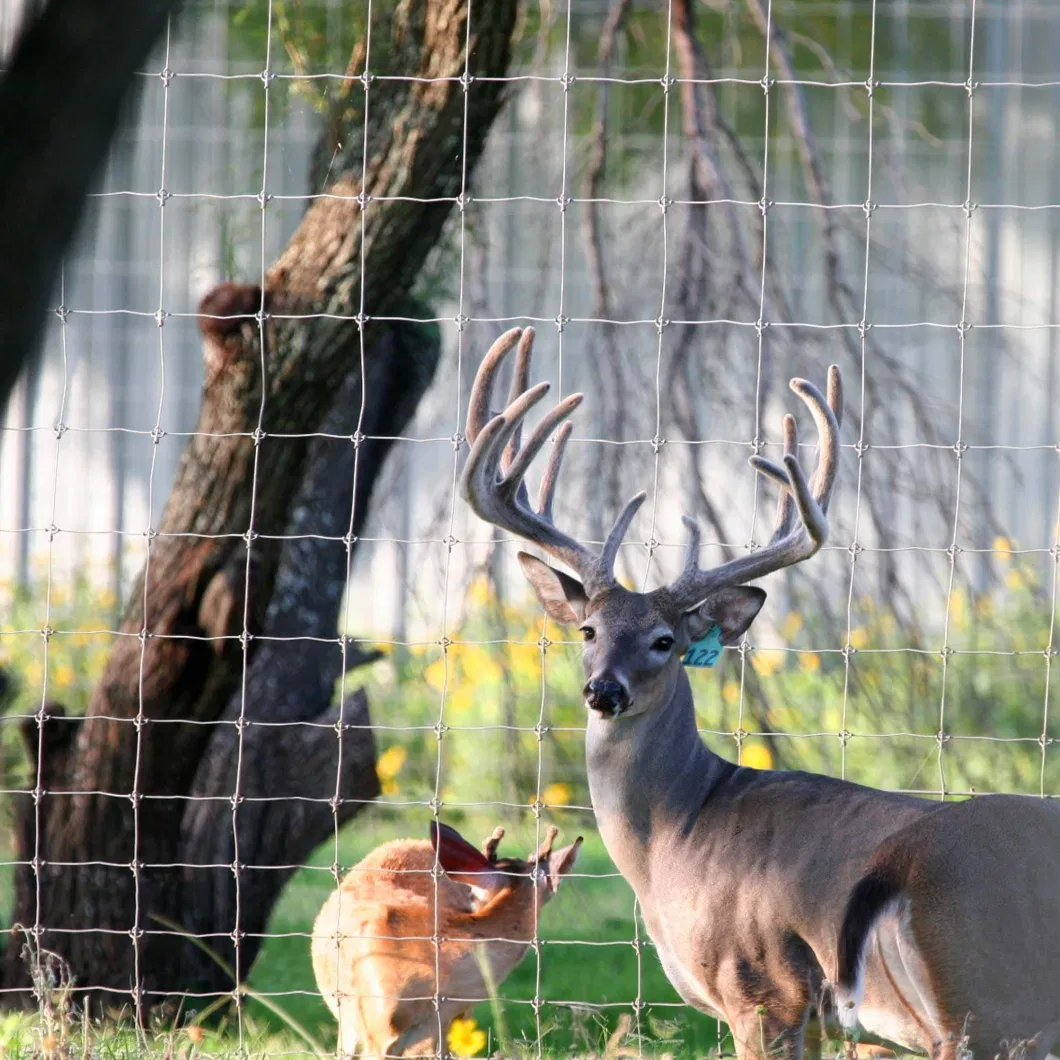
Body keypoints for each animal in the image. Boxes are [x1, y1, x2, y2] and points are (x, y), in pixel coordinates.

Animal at [460, 326, 1060, 1060]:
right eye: (588, 629)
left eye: (664, 640)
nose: (603, 691)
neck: (676, 837)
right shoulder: (857, 1029)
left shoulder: (763, 990)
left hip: (983, 1003)